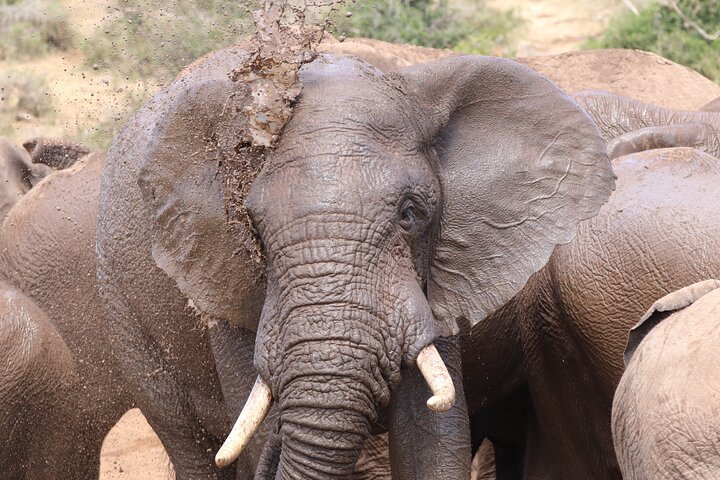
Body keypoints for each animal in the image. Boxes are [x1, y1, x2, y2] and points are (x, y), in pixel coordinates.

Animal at [95, 39, 615, 479]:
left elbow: (431, 437)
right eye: (254, 232)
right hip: (123, 311)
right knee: (191, 444)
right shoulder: (228, 286)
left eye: (410, 213)